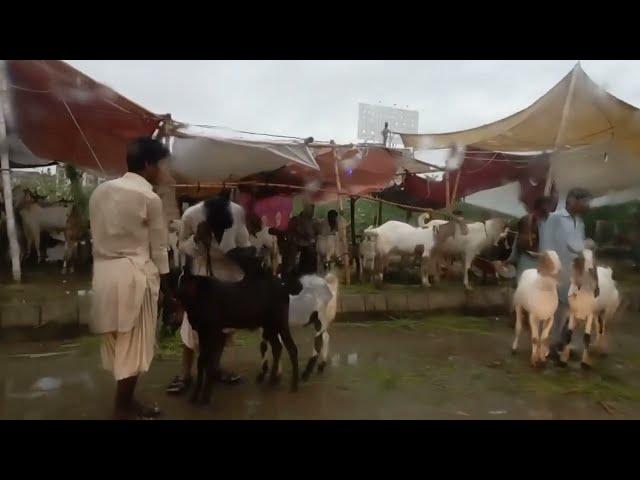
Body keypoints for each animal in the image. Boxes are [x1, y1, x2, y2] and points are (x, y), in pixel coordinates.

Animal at [176, 244, 304, 404]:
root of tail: (283, 287)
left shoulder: (215, 333)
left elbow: (209, 364)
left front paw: (205, 397)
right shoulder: (202, 332)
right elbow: (201, 362)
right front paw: (195, 397)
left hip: (279, 322)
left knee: (291, 348)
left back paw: (294, 386)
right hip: (269, 325)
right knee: (277, 347)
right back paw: (271, 381)